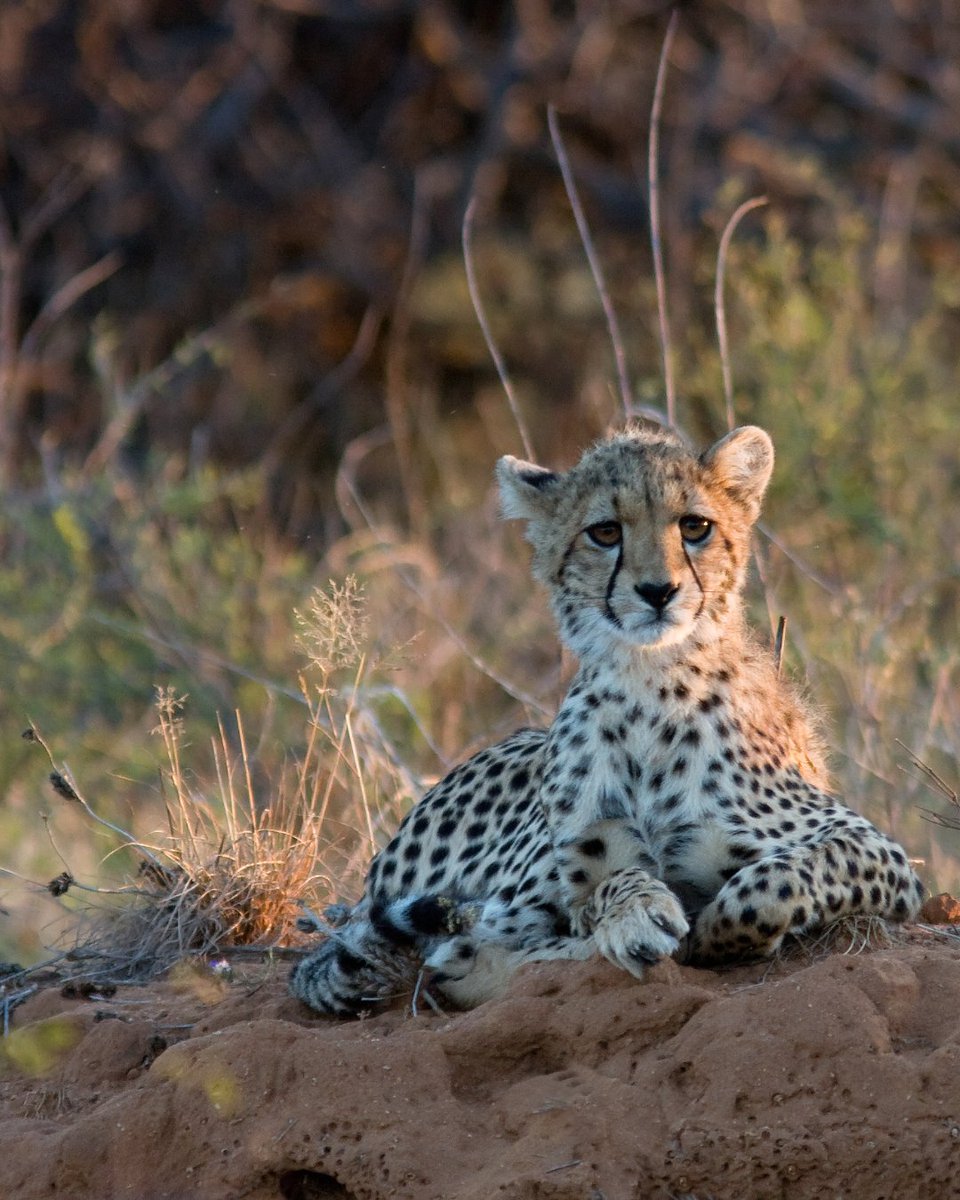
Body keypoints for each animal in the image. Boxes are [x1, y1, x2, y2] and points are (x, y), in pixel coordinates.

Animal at [290, 423, 924, 1017]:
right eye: (605, 532)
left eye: (695, 526)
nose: (658, 591)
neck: (652, 684)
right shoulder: (571, 877)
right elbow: (604, 891)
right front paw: (641, 914)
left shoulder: (882, 855)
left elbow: (779, 879)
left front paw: (714, 929)